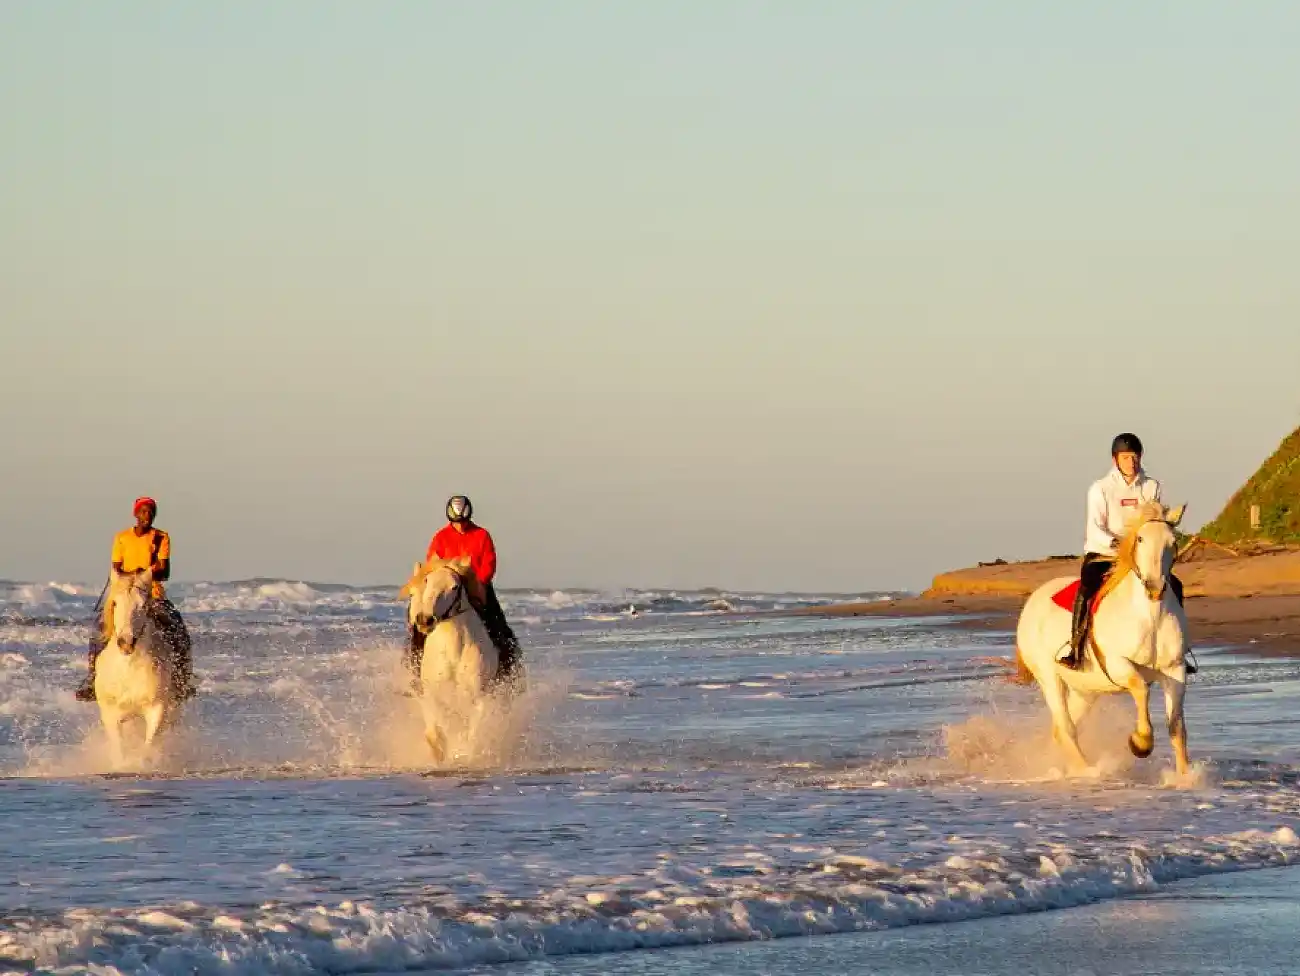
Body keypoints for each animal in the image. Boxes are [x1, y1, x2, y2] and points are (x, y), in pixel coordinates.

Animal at [94, 570, 182, 767]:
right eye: (115, 603)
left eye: (142, 606)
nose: (125, 643)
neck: (128, 669)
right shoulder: (110, 713)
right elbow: (119, 749)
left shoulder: (158, 708)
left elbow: (149, 744)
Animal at [400, 557, 500, 762]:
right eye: (426, 581)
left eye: (454, 587)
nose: (424, 620)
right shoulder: (433, 695)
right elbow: (436, 730)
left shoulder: (478, 697)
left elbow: (472, 735)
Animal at [1013, 502, 1191, 779]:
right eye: (1140, 539)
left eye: (1172, 542)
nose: (1154, 587)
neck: (1149, 615)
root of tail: (1033, 599)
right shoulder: (1118, 663)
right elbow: (1140, 687)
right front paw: (1140, 743)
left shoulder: (1175, 669)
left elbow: (1176, 726)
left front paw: (1185, 778)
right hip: (1049, 678)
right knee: (1066, 727)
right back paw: (1086, 771)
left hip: (1085, 690)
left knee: (1062, 729)